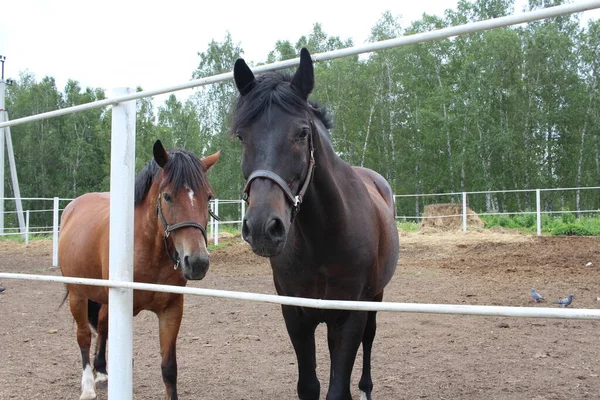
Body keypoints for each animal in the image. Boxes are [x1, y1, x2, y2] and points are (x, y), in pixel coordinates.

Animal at [58, 139, 220, 398]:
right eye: (167, 196)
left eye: (208, 197)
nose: (197, 262)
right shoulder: (125, 308)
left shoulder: (171, 310)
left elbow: (169, 368)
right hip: (77, 294)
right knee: (83, 335)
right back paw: (88, 386)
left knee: (101, 324)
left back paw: (101, 370)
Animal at [232, 48, 400, 398]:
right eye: (242, 136)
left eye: (302, 133)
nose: (262, 227)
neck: (322, 239)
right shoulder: (296, 316)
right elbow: (309, 385)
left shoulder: (348, 317)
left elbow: (338, 389)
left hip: (375, 297)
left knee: (370, 338)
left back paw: (366, 388)